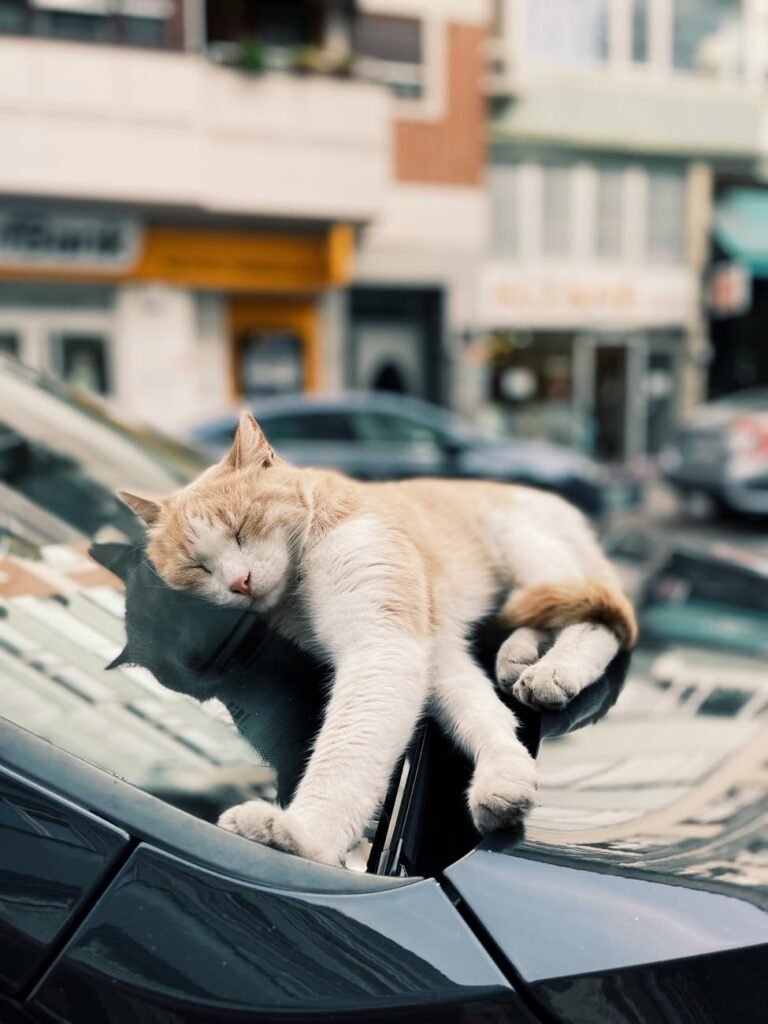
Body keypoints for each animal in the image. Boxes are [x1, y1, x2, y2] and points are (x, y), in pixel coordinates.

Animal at [120, 407, 638, 864]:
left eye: (241, 529)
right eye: (197, 568)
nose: (238, 583)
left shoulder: (384, 644)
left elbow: (349, 751)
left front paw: (304, 835)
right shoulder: (433, 652)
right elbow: (481, 712)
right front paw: (505, 776)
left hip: (528, 552)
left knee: (596, 621)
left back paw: (554, 670)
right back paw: (517, 655)